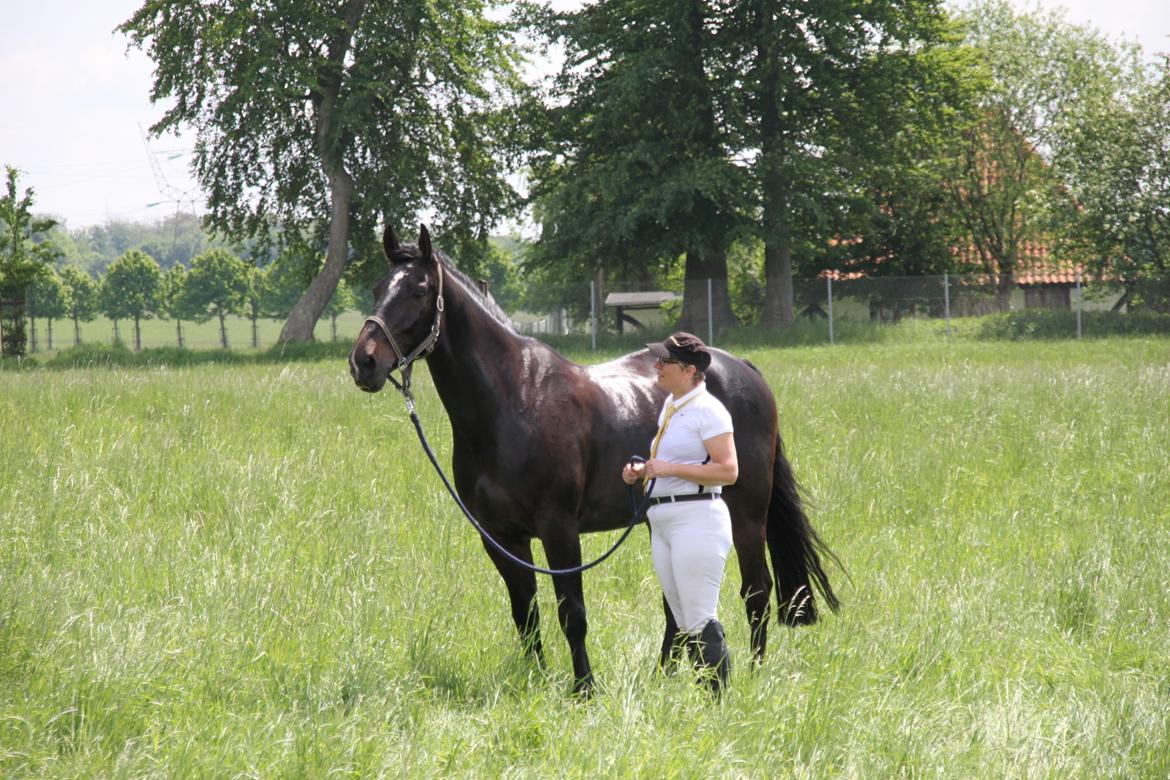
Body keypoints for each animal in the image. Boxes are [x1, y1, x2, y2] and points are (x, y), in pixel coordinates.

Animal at [348, 225, 842, 696]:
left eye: (418, 289)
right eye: (377, 287)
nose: (363, 362)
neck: (514, 400)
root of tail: (741, 368)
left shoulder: (559, 529)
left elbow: (572, 612)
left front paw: (584, 687)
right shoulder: (500, 536)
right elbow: (524, 611)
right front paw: (536, 679)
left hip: (746, 511)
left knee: (756, 590)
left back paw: (754, 673)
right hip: (658, 520)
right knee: (675, 606)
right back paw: (663, 676)